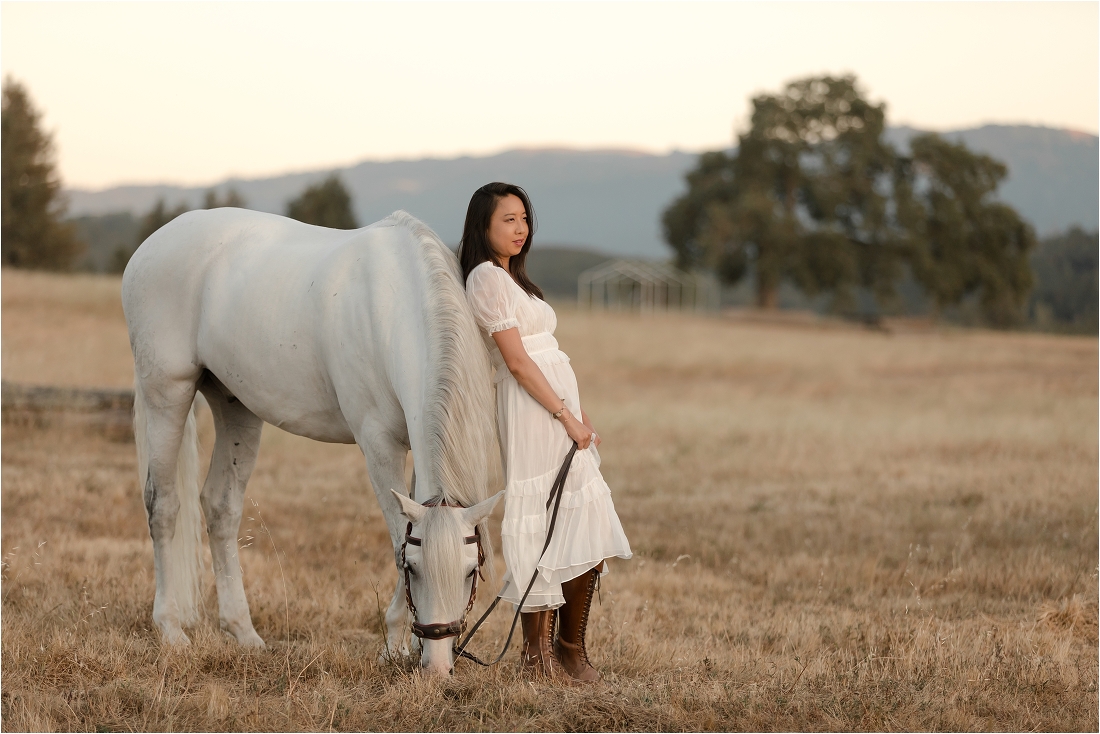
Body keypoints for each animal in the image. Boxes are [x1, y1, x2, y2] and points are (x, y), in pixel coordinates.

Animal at [119, 209, 503, 673]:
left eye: (470, 572)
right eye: (413, 569)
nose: (439, 668)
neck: (398, 307)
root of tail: (151, 245)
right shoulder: (379, 444)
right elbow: (398, 535)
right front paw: (393, 645)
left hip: (236, 407)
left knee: (220, 508)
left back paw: (244, 632)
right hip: (167, 394)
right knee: (163, 507)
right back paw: (171, 629)